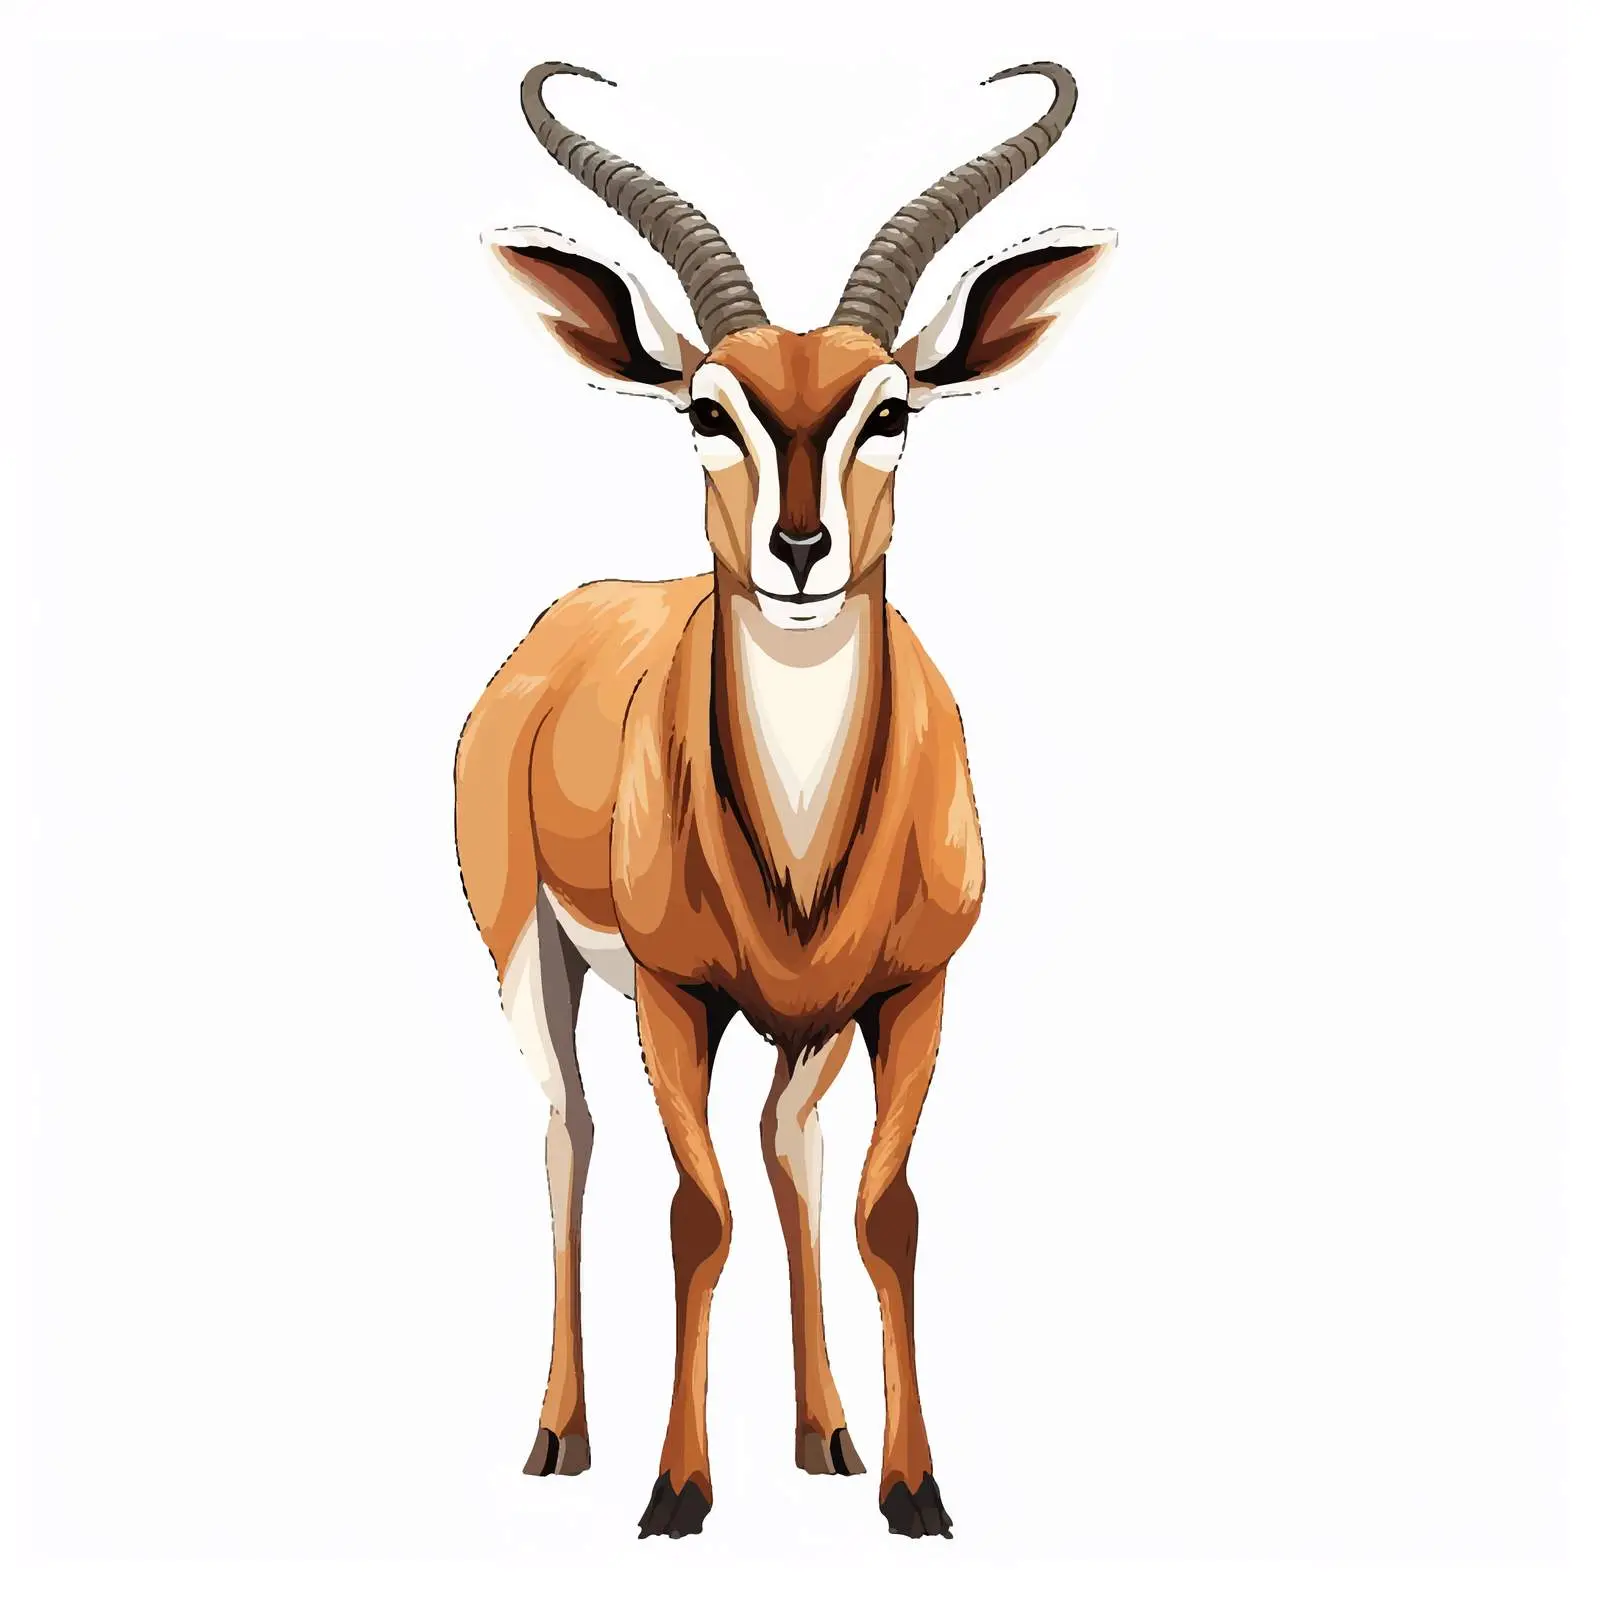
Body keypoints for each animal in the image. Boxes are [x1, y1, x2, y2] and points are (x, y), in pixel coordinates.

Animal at [455, 58, 1115, 1540]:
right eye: (709, 409)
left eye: (893, 409)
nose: (800, 549)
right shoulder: (676, 996)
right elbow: (693, 1216)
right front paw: (675, 1491)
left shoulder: (912, 990)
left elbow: (886, 1212)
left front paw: (915, 1488)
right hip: (534, 960)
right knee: (570, 1138)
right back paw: (558, 1437)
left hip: (807, 1024)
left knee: (787, 1145)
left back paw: (826, 1435)